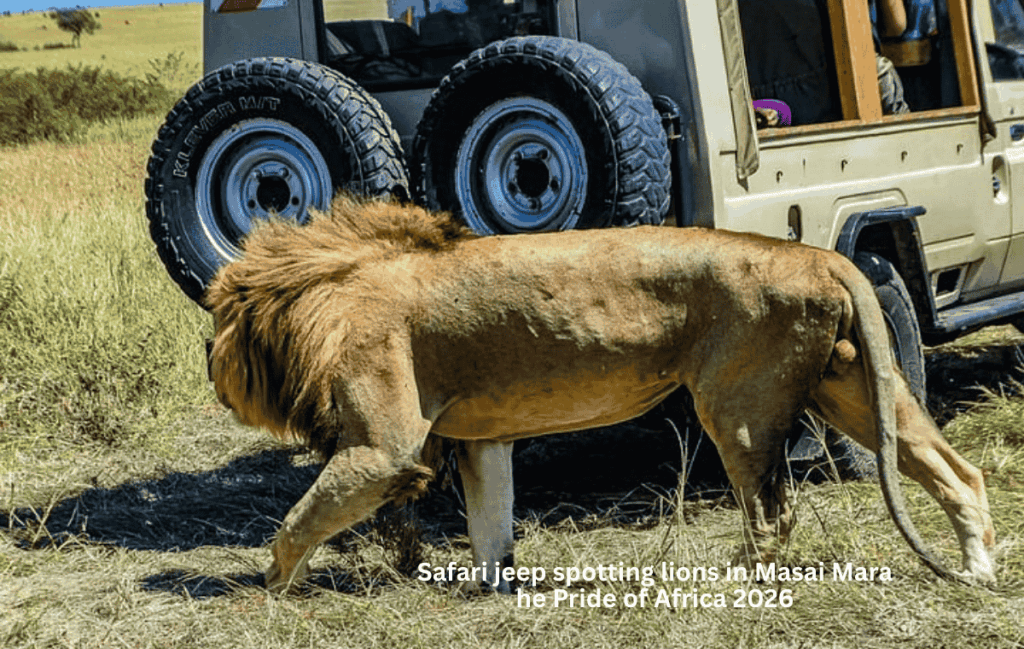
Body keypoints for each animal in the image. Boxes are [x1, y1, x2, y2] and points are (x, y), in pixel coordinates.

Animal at [206, 195, 996, 593]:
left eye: (216, 326)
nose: (210, 371)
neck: (335, 285)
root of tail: (819, 254)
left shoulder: (382, 449)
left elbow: (299, 519)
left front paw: (267, 588)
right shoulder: (484, 438)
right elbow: (492, 526)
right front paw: (487, 589)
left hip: (737, 408)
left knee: (774, 515)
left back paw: (730, 584)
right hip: (858, 389)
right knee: (958, 471)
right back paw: (980, 570)